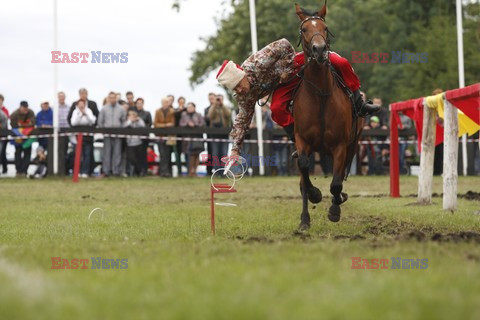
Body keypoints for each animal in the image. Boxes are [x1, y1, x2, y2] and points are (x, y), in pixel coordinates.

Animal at [292, 1, 364, 229]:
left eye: (324, 28)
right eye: (304, 29)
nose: (320, 49)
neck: (321, 94)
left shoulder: (340, 145)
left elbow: (336, 183)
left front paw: (334, 208)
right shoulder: (302, 140)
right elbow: (304, 168)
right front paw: (314, 195)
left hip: (352, 143)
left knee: (340, 176)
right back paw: (304, 220)